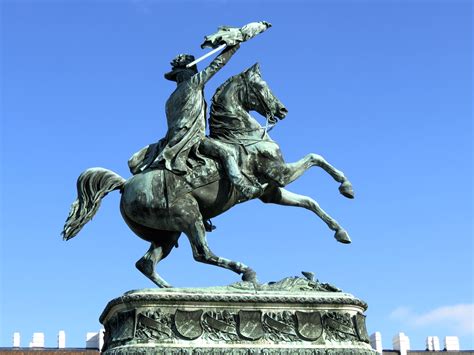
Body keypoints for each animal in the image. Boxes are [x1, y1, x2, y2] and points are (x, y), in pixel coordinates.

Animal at [62, 63, 352, 290]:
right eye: (261, 86)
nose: (282, 110)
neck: (240, 134)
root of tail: (125, 186)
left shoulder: (272, 192)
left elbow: (310, 202)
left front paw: (341, 231)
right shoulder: (280, 174)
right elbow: (315, 157)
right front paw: (346, 186)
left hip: (167, 234)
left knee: (146, 263)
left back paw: (171, 289)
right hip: (190, 217)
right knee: (202, 253)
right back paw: (245, 272)